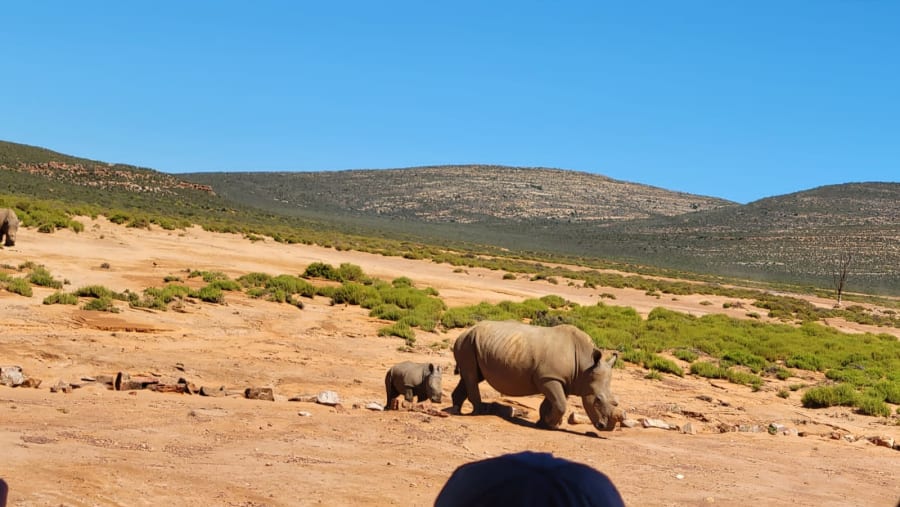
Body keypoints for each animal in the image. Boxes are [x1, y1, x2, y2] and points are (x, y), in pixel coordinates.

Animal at [451, 320, 621, 431]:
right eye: (597, 400)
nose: (607, 427)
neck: (585, 367)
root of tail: (465, 331)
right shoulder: (549, 377)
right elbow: (560, 404)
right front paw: (550, 424)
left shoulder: (559, 380)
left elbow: (554, 403)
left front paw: (544, 422)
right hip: (467, 342)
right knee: (471, 376)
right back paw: (478, 412)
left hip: (473, 343)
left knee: (470, 376)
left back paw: (456, 410)